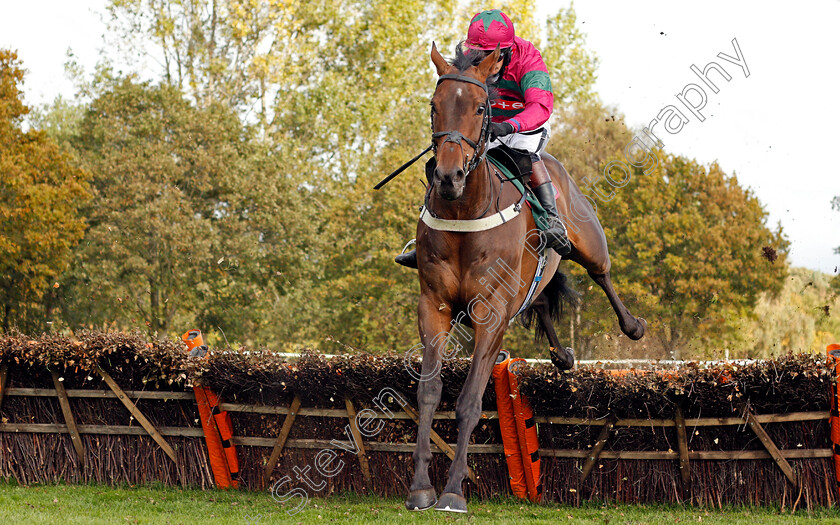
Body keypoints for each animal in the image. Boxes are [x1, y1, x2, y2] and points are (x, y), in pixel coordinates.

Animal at [408, 45, 648, 512]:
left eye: (480, 108)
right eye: (433, 106)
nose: (448, 177)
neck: (465, 211)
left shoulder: (491, 313)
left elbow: (469, 400)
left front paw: (453, 491)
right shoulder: (434, 306)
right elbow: (429, 392)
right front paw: (421, 488)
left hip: (587, 238)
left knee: (602, 273)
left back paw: (632, 325)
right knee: (538, 300)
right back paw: (562, 356)